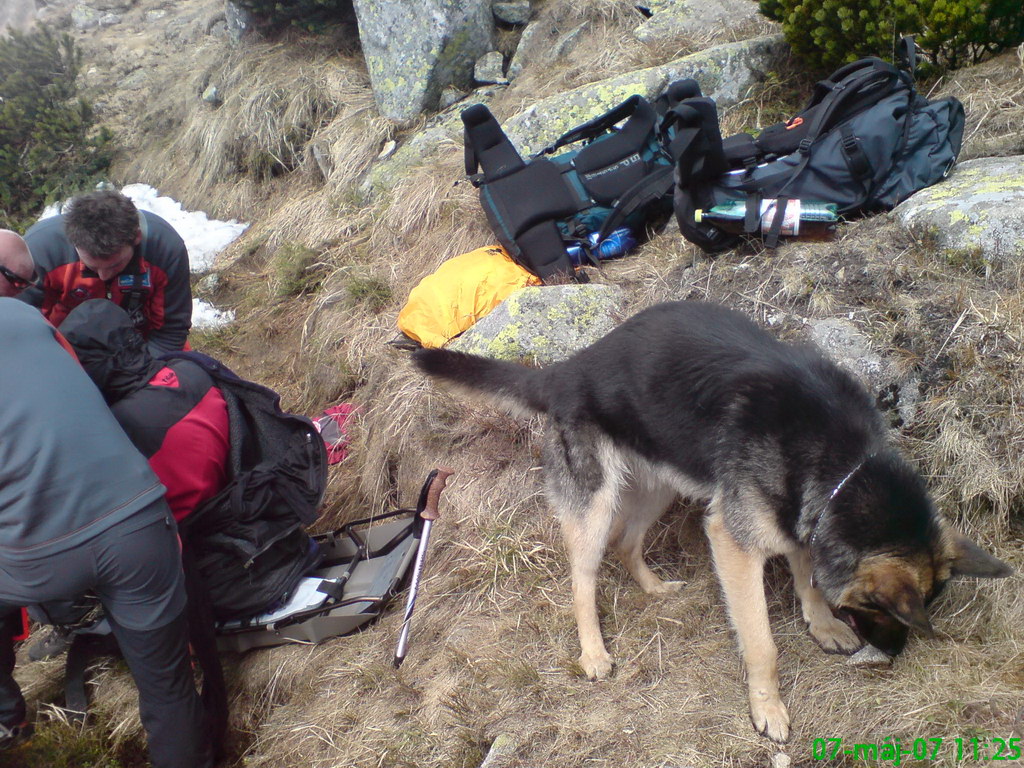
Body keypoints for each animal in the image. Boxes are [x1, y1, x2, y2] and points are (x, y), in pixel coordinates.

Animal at [411, 303, 1011, 745]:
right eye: (884, 611)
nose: (890, 658)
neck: (845, 463)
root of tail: (567, 368)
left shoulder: (798, 517)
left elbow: (808, 578)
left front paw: (823, 625)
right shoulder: (736, 543)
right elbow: (763, 643)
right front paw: (768, 709)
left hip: (661, 484)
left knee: (628, 544)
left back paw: (654, 588)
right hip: (595, 504)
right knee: (582, 576)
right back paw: (593, 653)